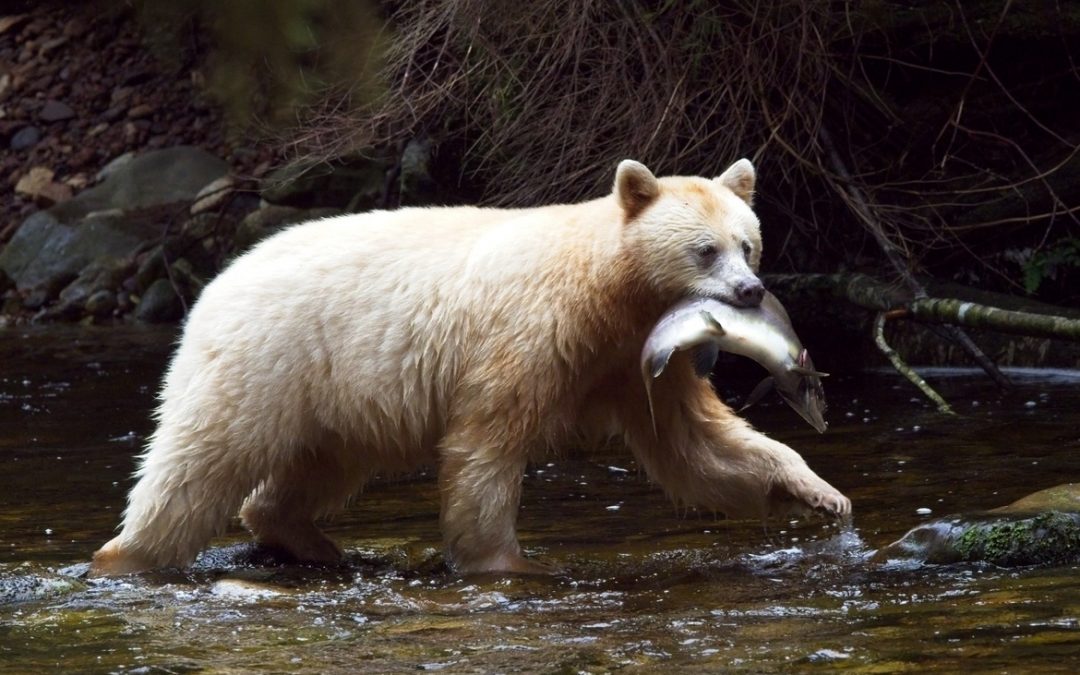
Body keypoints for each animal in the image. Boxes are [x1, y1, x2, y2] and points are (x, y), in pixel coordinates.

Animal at [90, 159, 850, 577]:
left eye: (748, 242)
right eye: (704, 249)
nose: (750, 291)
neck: (604, 292)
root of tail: (216, 283)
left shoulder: (630, 360)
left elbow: (697, 448)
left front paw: (816, 491)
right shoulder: (532, 334)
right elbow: (487, 444)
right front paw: (505, 562)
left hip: (331, 397)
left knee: (313, 467)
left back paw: (311, 541)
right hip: (266, 361)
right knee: (201, 462)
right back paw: (128, 555)